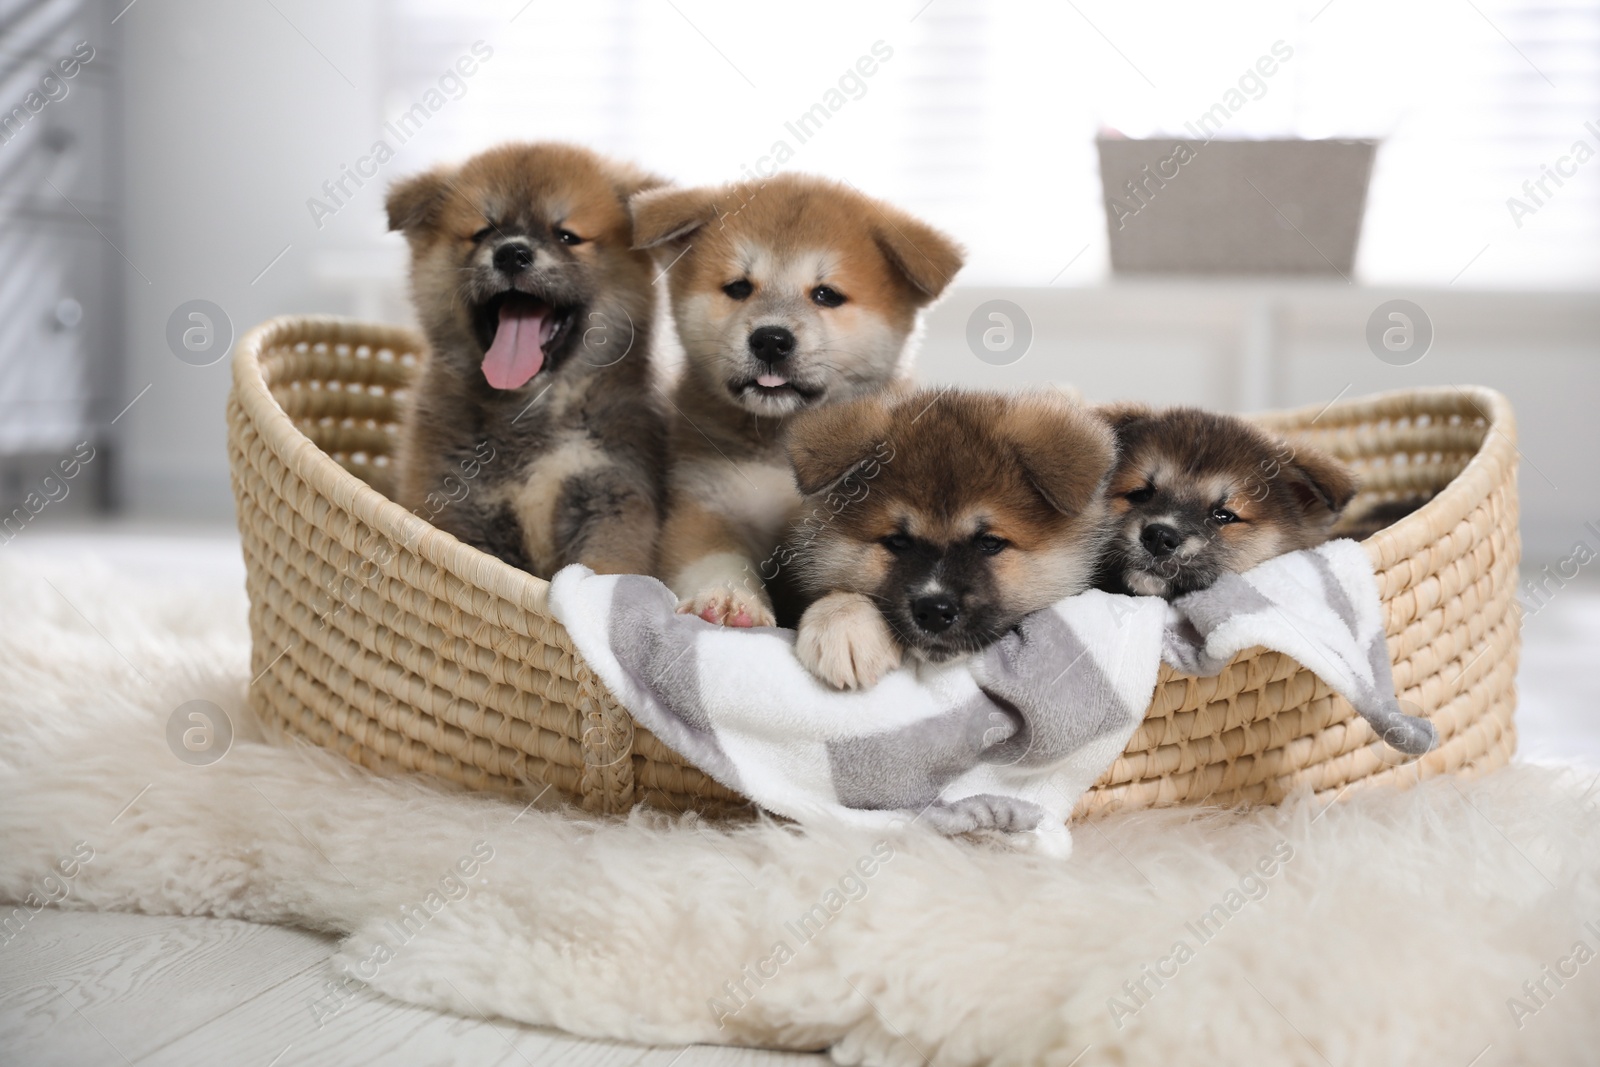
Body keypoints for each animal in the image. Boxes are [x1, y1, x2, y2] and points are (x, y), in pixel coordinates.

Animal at [387, 143, 668, 575]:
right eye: (482, 232)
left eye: (567, 236)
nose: (512, 253)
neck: (533, 411)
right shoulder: (459, 508)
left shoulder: (613, 495)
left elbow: (605, 566)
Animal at [627, 171, 960, 630]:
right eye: (738, 288)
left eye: (826, 295)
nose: (771, 339)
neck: (784, 443)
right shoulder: (706, 504)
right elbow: (716, 558)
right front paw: (729, 598)